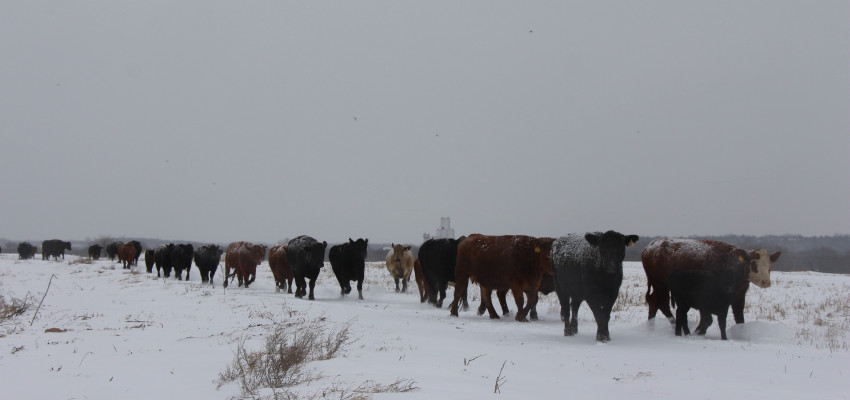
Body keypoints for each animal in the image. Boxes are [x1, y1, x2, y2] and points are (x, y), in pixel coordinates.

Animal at [640, 238, 780, 324]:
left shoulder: (739, 297)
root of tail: (649, 248)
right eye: (753, 264)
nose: (766, 282)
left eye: (769, 265)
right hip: (660, 283)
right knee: (663, 303)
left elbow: (739, 318)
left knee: (654, 301)